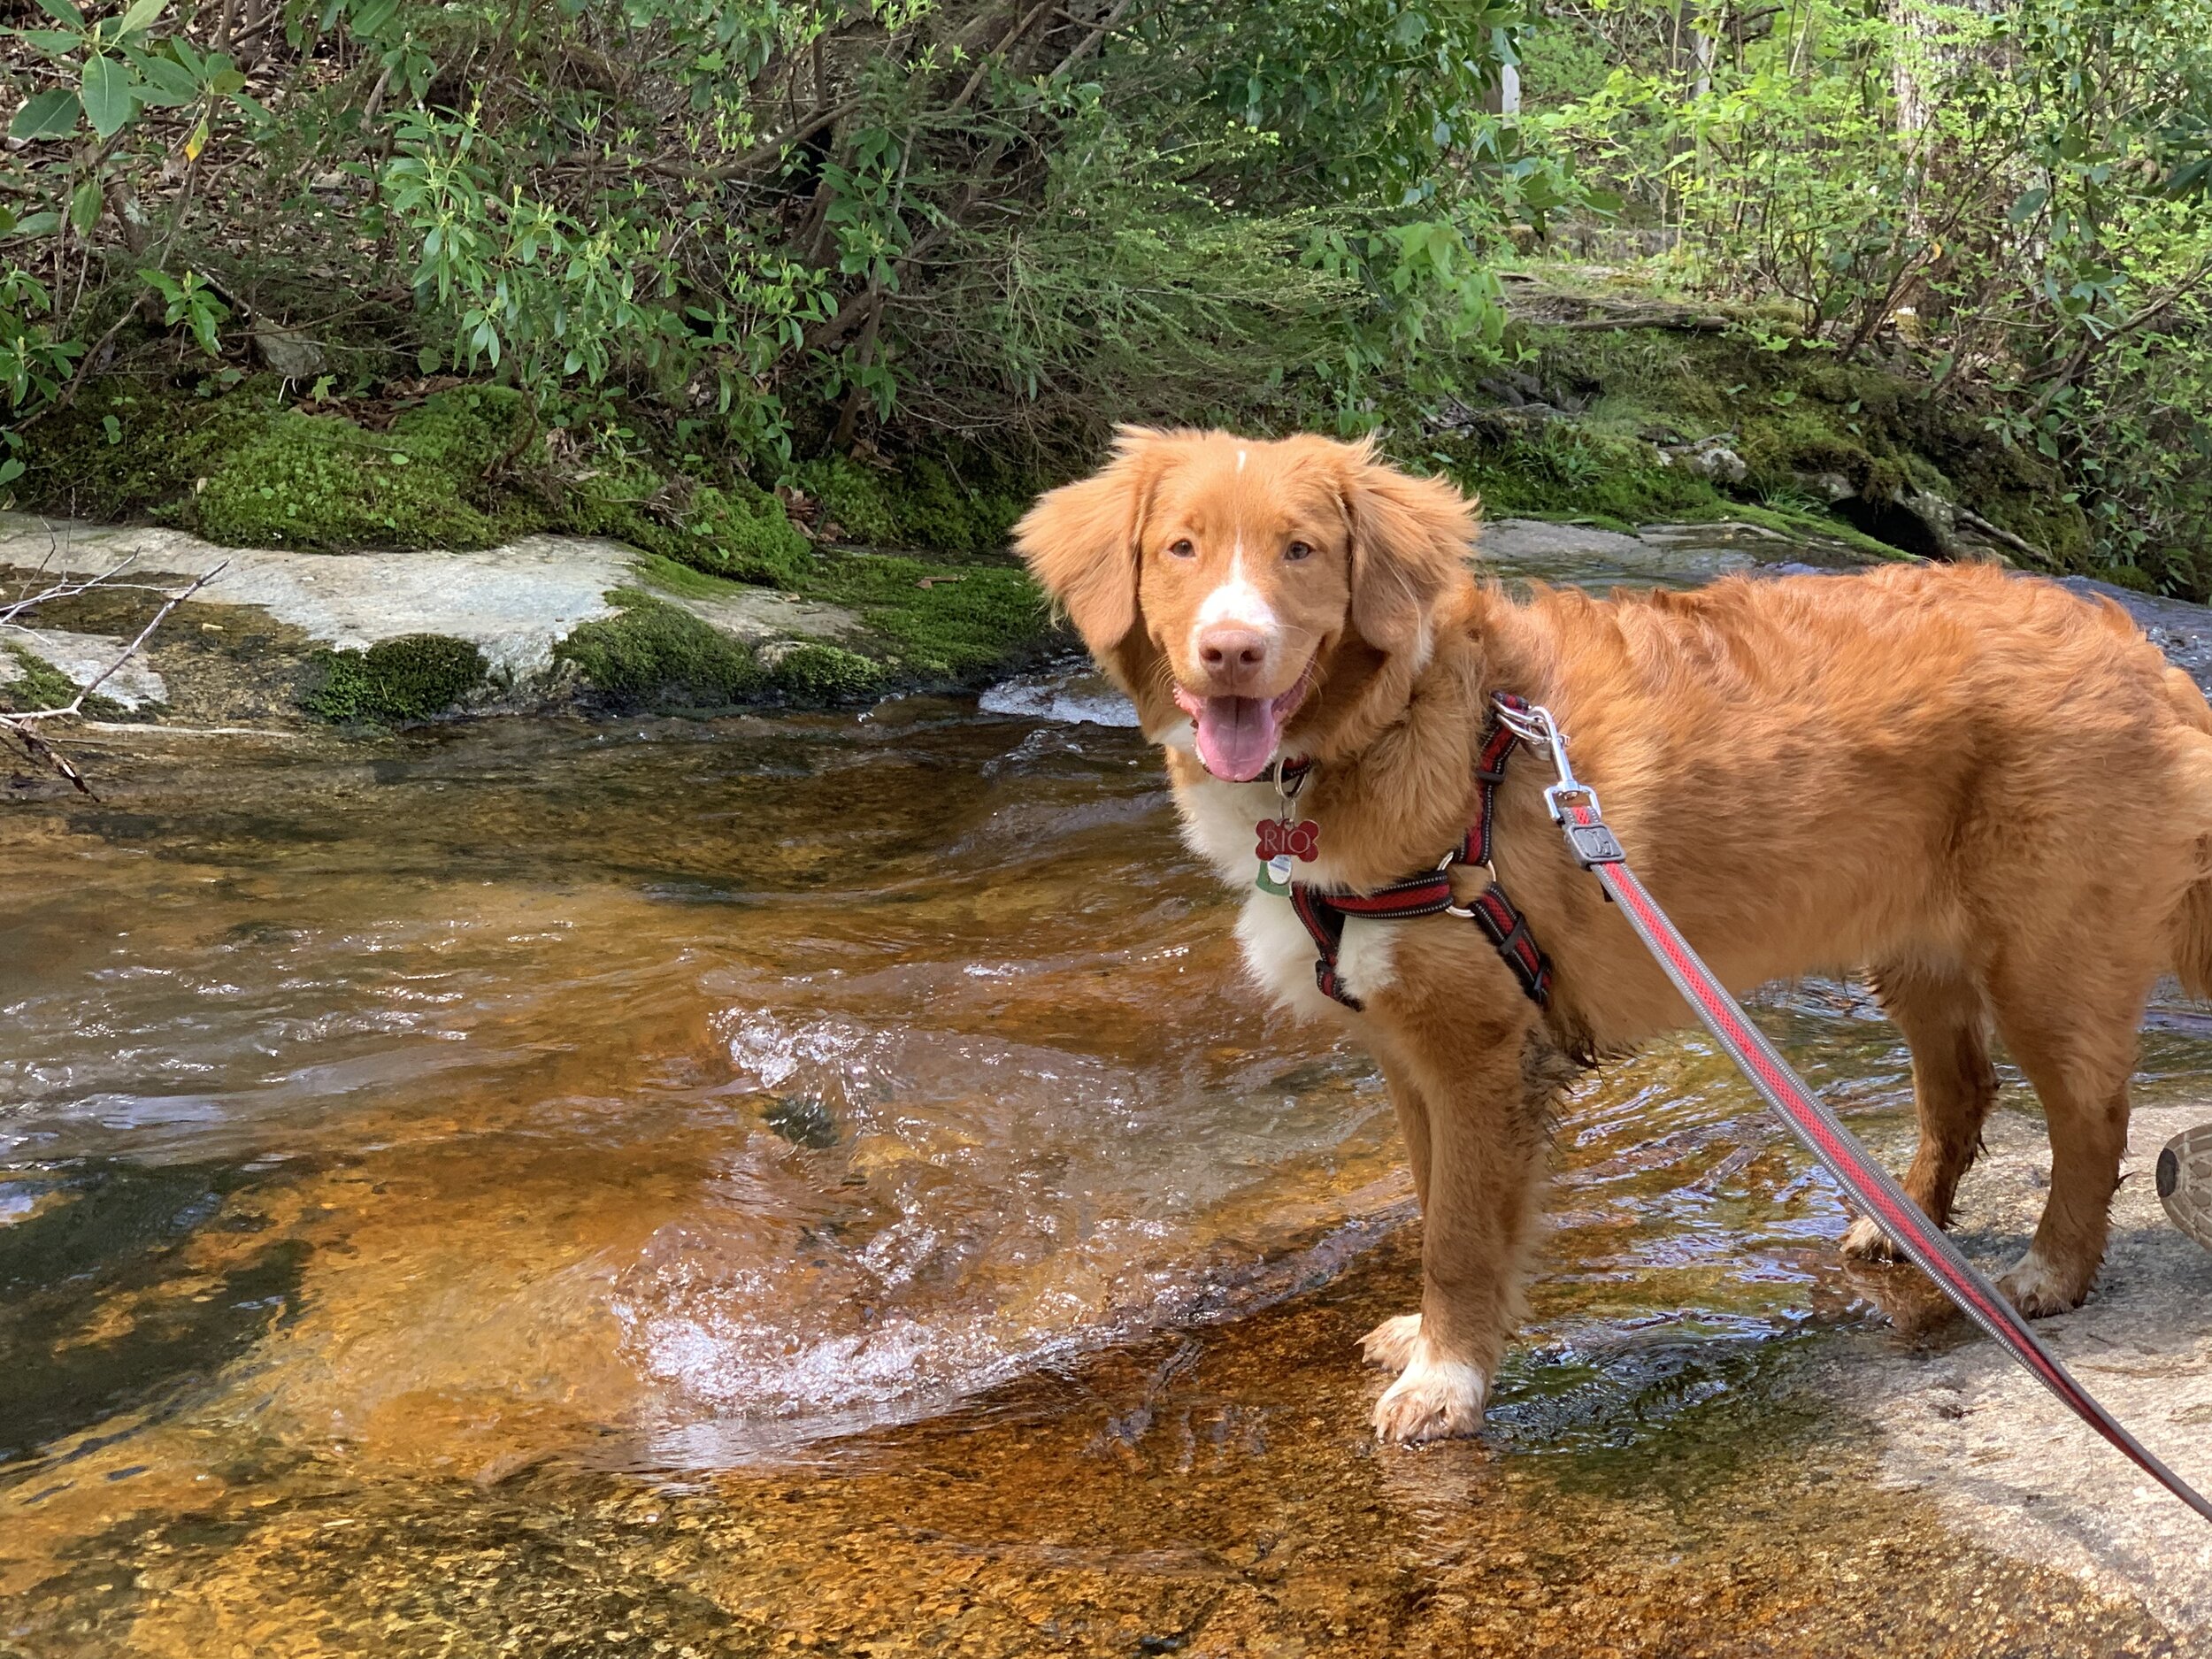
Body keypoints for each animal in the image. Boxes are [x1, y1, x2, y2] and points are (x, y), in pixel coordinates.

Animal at [1022, 429, 2212, 1442]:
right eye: (1179, 548)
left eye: (1301, 551)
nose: (1230, 650)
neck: (1402, 726)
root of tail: (2143, 657)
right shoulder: (1409, 1057)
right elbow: (1435, 1205)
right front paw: (1431, 1343)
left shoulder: (1474, 1056)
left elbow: (1458, 1237)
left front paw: (1448, 1382)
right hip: (1914, 954)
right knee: (1960, 1090)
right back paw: (1903, 1227)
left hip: (2046, 965)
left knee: (2092, 1123)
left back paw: (2050, 1275)